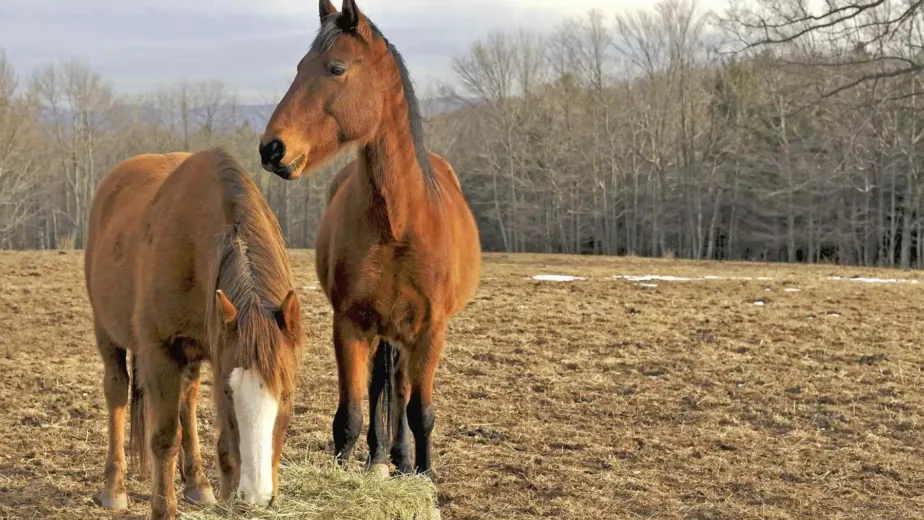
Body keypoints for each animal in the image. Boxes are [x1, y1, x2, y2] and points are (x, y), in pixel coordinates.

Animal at [83, 147, 304, 519]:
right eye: (229, 393)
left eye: (287, 394)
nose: (257, 495)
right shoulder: (160, 352)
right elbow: (164, 437)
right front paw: (163, 509)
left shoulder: (215, 348)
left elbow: (224, 446)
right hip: (107, 333)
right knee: (116, 391)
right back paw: (114, 487)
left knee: (186, 399)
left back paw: (197, 483)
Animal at [258, 0, 481, 478]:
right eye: (299, 67)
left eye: (336, 68)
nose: (272, 149)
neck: (398, 222)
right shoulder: (349, 324)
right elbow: (351, 415)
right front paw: (347, 466)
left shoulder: (430, 331)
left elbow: (420, 412)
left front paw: (423, 473)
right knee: (382, 383)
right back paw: (380, 455)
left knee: (399, 387)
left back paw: (400, 457)